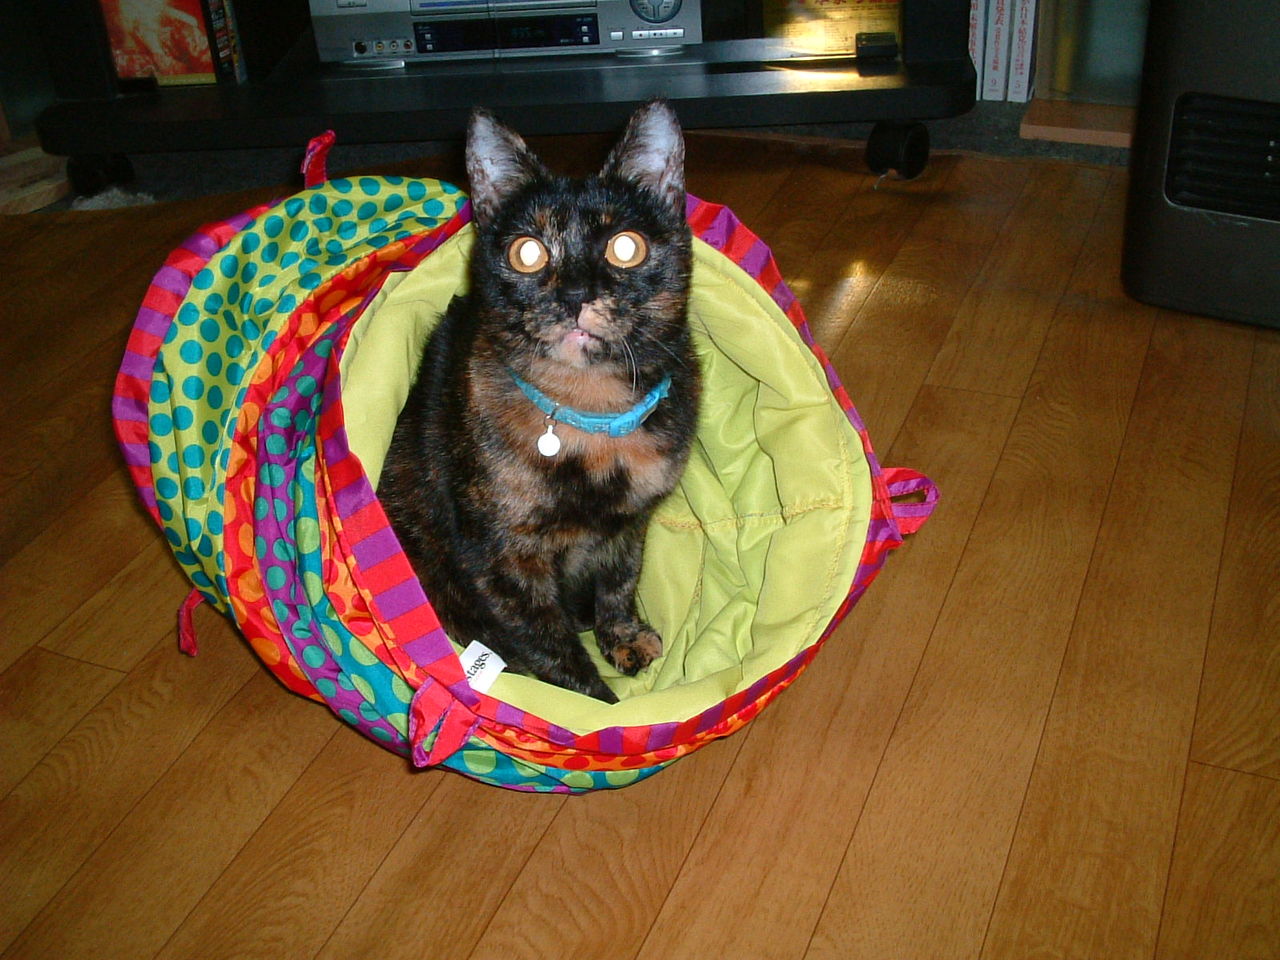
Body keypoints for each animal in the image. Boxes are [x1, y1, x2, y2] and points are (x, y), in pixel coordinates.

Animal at [378, 101, 701, 703]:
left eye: (626, 247)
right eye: (527, 253)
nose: (575, 295)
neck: (591, 415)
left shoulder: (629, 525)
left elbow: (619, 582)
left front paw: (623, 638)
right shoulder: (504, 560)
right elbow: (551, 646)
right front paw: (599, 710)